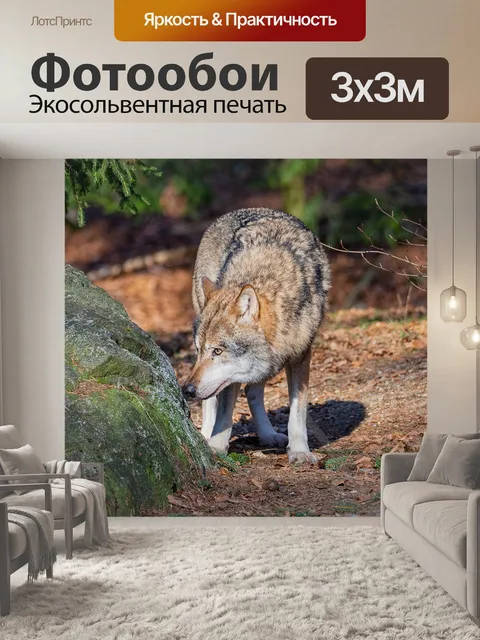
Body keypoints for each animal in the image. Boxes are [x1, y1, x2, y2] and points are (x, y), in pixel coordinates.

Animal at [183, 208, 330, 464]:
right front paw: (216, 445)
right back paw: (205, 435)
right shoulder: (229, 377)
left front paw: (300, 451)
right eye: (202, 349)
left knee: (252, 392)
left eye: (218, 351)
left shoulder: (301, 355)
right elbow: (224, 413)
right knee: (212, 402)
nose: (188, 390)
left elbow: (297, 412)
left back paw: (267, 435)